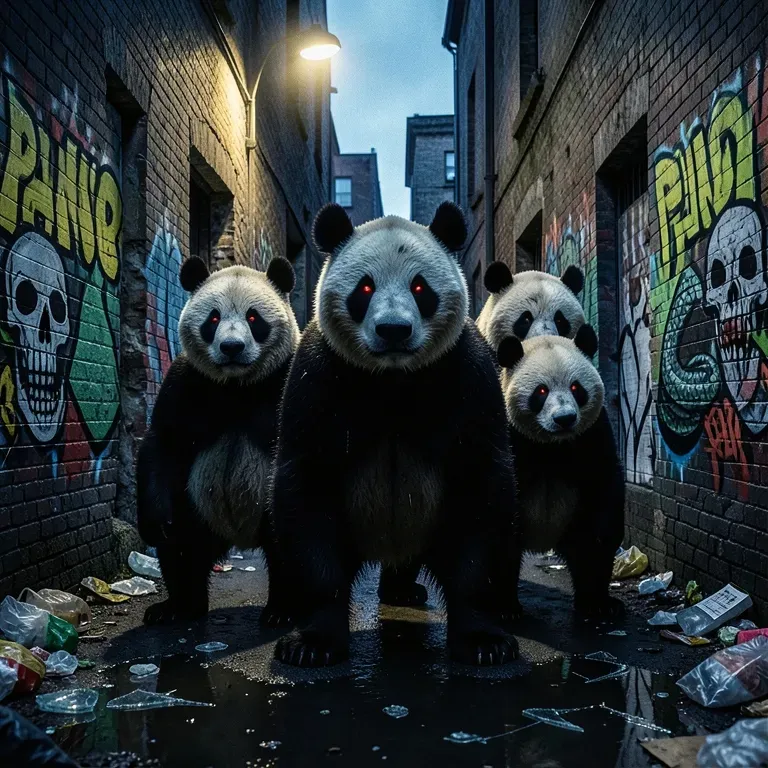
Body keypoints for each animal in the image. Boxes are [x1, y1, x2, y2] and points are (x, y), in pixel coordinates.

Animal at [137, 255, 300, 625]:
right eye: (213, 319)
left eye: (254, 318)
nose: (231, 347)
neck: (237, 384)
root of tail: (236, 537)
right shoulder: (188, 382)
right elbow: (163, 443)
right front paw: (156, 523)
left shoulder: (286, 378)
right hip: (196, 505)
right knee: (183, 548)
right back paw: (179, 607)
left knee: (285, 552)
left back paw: (283, 611)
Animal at [270, 201, 520, 667]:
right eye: (364, 289)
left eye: (421, 288)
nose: (393, 331)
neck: (393, 378)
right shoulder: (321, 376)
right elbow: (307, 486)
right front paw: (312, 643)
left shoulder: (463, 374)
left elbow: (479, 490)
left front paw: (484, 642)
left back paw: (406, 588)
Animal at [495, 325, 625, 618]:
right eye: (541, 391)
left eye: (576, 388)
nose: (564, 418)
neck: (551, 445)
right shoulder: (509, 437)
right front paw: (502, 607)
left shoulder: (591, 437)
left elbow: (601, 514)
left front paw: (596, 604)